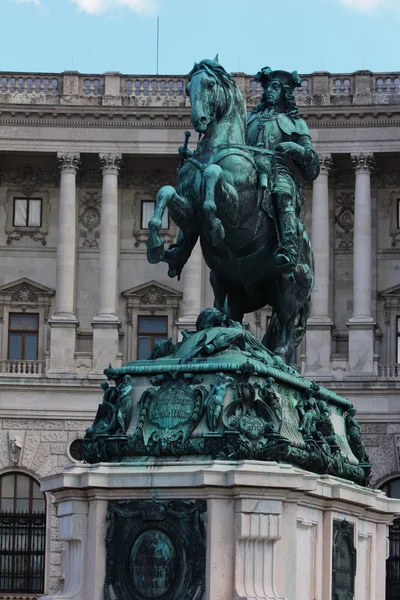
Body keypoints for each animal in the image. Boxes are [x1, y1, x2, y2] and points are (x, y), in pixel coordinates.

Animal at [145, 57, 314, 360]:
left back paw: (278, 355)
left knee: (288, 324)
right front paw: (156, 245)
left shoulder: (239, 211)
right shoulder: (189, 211)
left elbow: (213, 176)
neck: (215, 149)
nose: (199, 121)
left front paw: (214, 226)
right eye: (188, 87)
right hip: (227, 284)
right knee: (233, 316)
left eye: (210, 84)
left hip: (292, 285)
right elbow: (166, 192)